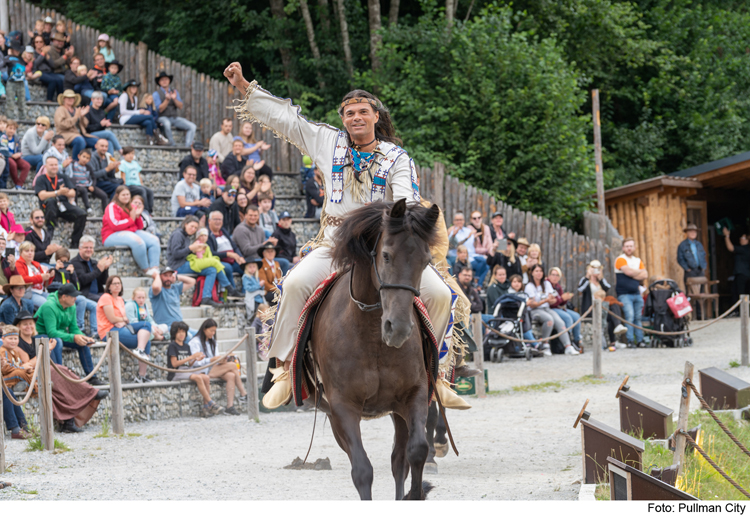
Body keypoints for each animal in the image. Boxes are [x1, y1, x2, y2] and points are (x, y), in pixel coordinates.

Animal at [308, 199, 444, 500]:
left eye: (426, 261)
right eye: (386, 255)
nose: (400, 329)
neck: (371, 336)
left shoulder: (414, 394)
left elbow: (416, 452)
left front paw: (414, 494)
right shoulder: (343, 406)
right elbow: (362, 470)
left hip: (397, 410)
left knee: (399, 460)